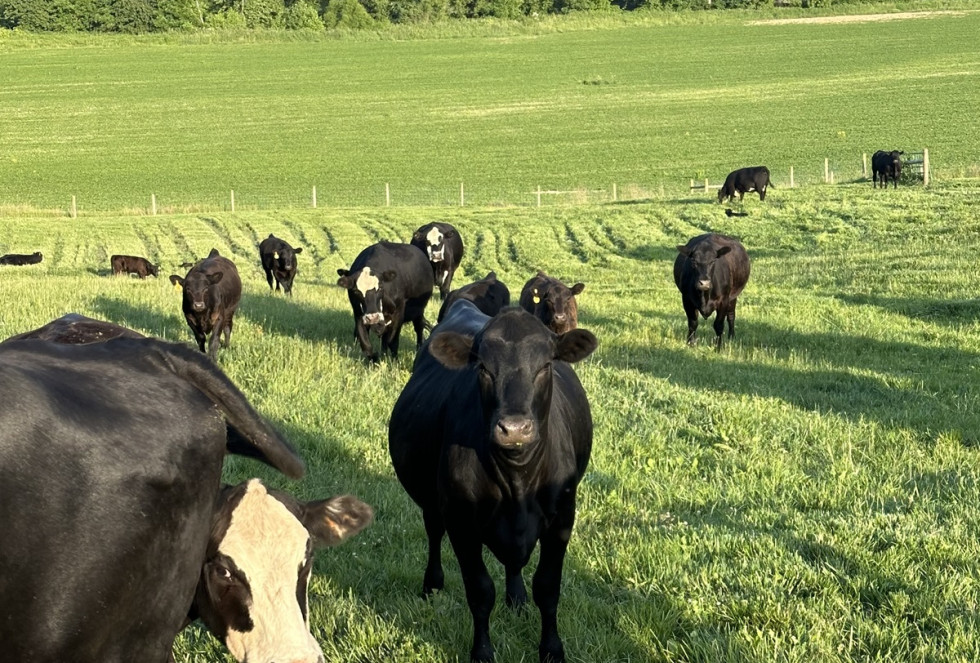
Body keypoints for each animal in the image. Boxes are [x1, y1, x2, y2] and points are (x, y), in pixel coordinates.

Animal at [389, 301, 598, 663]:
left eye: (546, 365)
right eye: (483, 369)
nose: (514, 429)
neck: (517, 480)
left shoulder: (562, 517)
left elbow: (548, 587)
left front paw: (551, 649)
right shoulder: (461, 521)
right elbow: (480, 591)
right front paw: (482, 652)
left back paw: (516, 597)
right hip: (432, 502)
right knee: (433, 532)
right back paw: (432, 584)